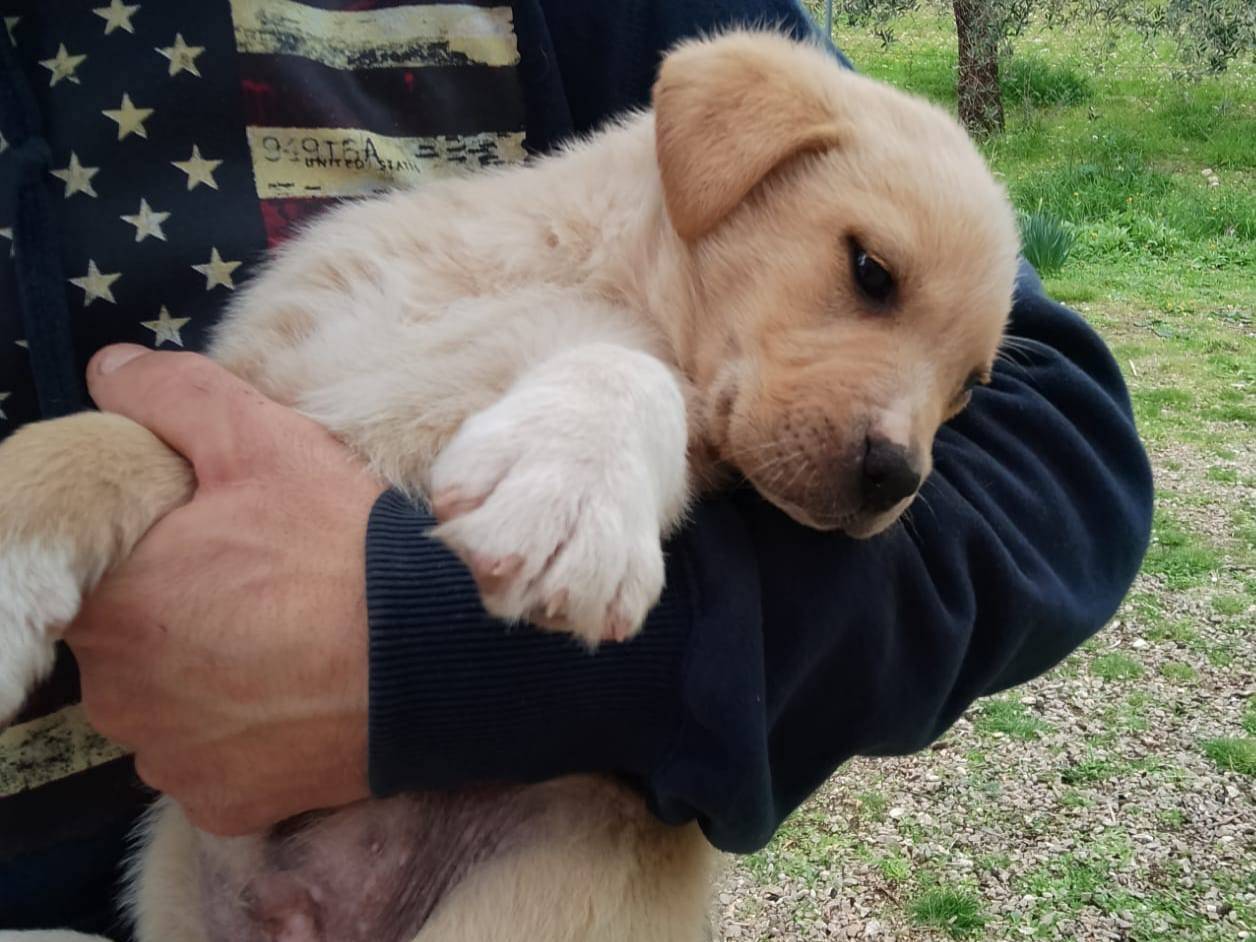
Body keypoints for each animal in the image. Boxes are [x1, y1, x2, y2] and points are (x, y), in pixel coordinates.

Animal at [0, 29, 1019, 942]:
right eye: (871, 271)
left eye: (967, 389)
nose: (895, 479)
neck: (573, 275)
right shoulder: (275, 385)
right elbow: (105, 441)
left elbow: (633, 373)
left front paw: (576, 490)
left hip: (571, 852)